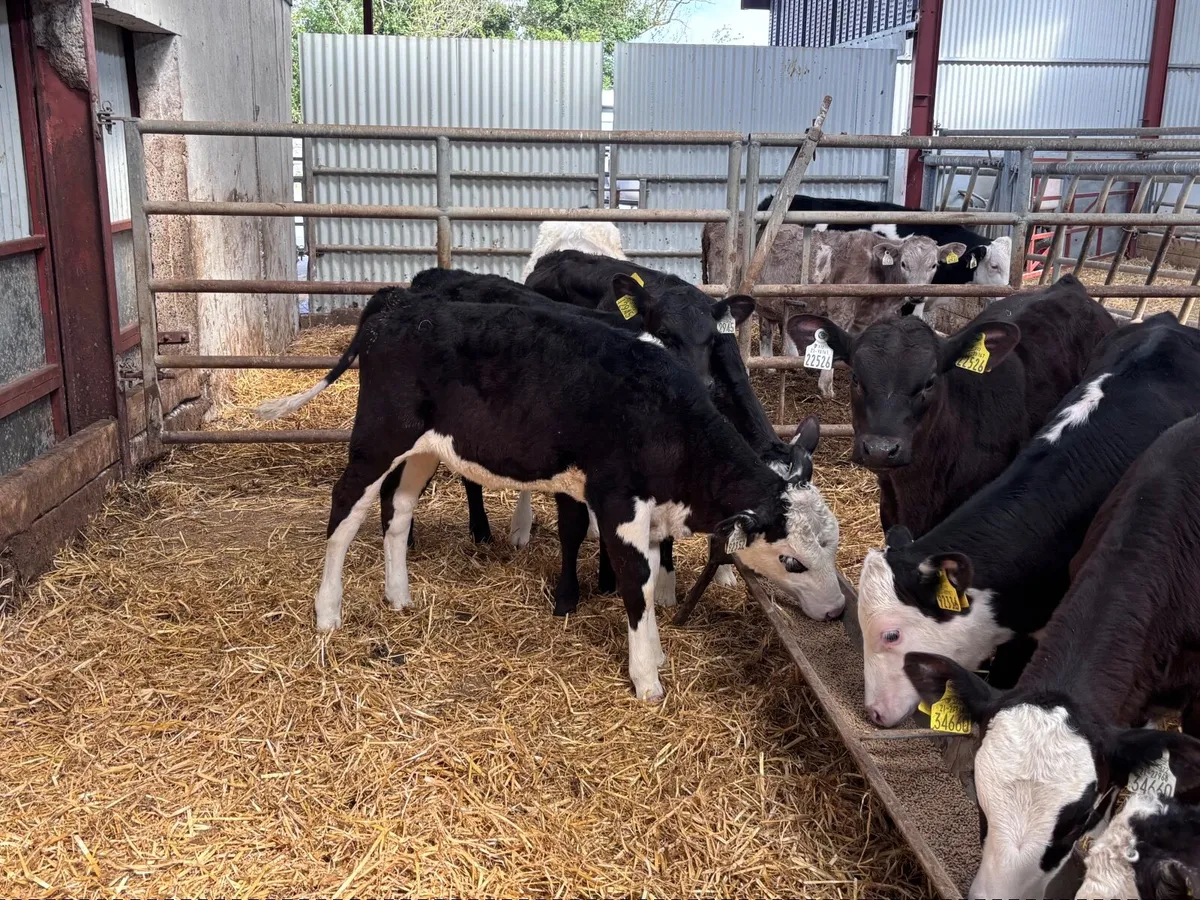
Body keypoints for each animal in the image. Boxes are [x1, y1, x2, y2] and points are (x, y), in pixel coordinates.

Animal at [256, 289, 843, 701]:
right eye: (791, 561)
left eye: (833, 545)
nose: (839, 610)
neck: (664, 418)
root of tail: (399, 308)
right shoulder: (617, 500)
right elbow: (635, 582)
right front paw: (646, 678)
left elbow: (653, 577)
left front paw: (654, 655)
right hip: (379, 436)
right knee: (345, 508)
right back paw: (328, 612)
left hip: (424, 448)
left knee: (398, 512)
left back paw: (398, 595)